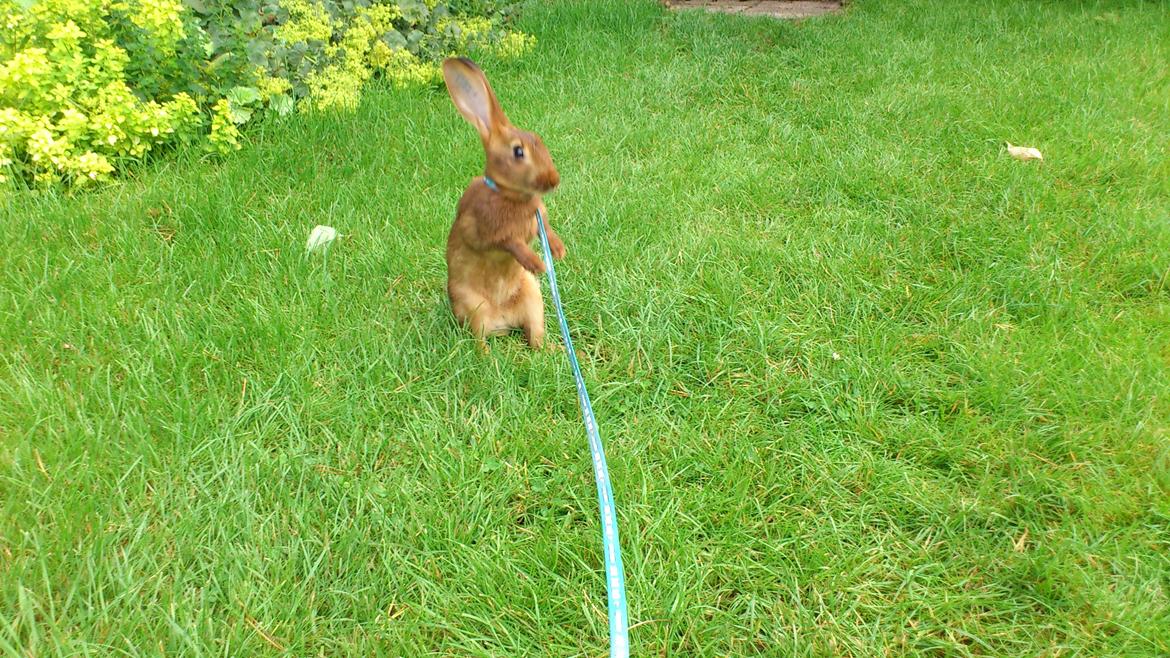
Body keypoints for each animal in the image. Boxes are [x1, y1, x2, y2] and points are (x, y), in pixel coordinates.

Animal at [441, 57, 565, 351]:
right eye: (518, 151)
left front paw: (558, 251)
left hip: (532, 297)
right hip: (472, 306)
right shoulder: (484, 230)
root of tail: (503, 323)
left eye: (538, 139)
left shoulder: (539, 219)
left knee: (535, 339)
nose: (553, 180)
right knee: (479, 340)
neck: (511, 194)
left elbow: (547, 230)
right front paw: (536, 262)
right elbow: (509, 242)